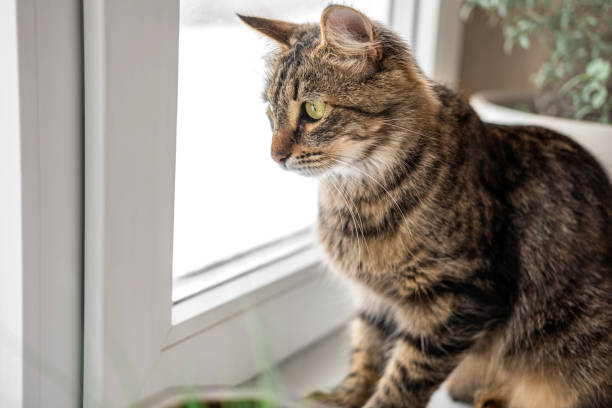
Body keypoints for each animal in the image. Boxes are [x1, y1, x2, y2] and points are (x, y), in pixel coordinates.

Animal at [238, 5, 612, 408]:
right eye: (270, 111)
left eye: (313, 109)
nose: (275, 156)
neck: (358, 196)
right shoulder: (374, 300)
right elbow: (365, 356)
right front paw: (339, 397)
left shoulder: (459, 300)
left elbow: (402, 380)